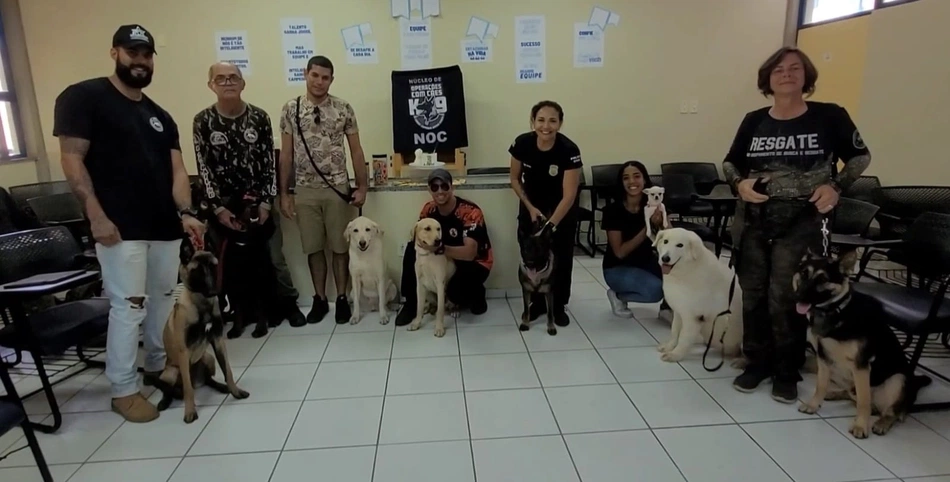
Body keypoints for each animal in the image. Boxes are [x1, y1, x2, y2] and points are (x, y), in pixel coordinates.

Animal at [149, 239, 249, 424]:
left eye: (214, 267)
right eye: (198, 271)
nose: (215, 291)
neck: (202, 304)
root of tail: (198, 382)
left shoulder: (218, 341)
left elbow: (228, 371)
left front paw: (235, 391)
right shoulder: (183, 352)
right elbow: (188, 390)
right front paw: (189, 411)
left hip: (208, 359)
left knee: (208, 380)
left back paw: (221, 387)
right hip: (171, 372)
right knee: (170, 389)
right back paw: (165, 401)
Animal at [217, 192, 284, 338]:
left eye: (256, 199)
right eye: (242, 201)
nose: (254, 207)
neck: (245, 239)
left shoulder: (260, 282)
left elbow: (261, 307)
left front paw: (260, 329)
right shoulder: (234, 285)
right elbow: (238, 310)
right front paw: (236, 329)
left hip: (273, 292)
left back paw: (274, 320)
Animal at [792, 250, 932, 438]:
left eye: (822, 280)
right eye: (803, 274)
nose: (798, 296)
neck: (836, 312)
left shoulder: (861, 366)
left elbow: (863, 401)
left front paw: (860, 425)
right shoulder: (823, 359)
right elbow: (820, 385)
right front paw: (813, 405)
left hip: (897, 380)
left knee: (891, 411)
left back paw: (882, 423)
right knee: (853, 393)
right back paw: (834, 393)